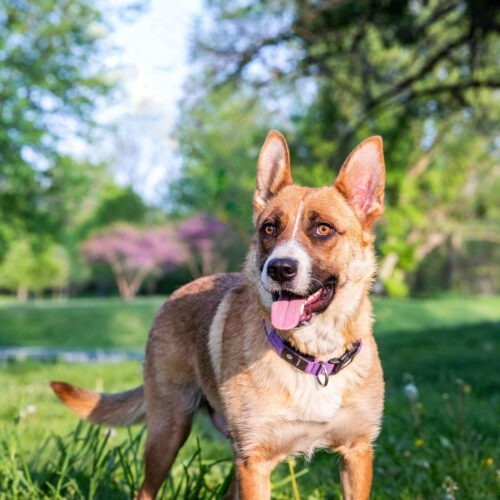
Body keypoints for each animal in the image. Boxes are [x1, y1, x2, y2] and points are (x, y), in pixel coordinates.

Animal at [50, 131, 384, 498]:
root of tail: (175, 293)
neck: (314, 359)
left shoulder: (357, 453)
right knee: (146, 488)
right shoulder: (255, 462)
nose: (279, 268)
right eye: (269, 229)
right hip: (168, 431)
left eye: (323, 229)